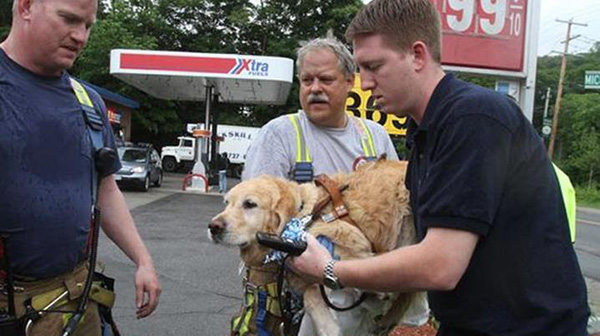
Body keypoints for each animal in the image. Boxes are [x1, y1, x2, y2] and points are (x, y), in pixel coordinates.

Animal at [209, 159, 424, 336]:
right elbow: (311, 295)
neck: (303, 215)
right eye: (227, 203)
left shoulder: (351, 247)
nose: (213, 227)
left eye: (250, 204)